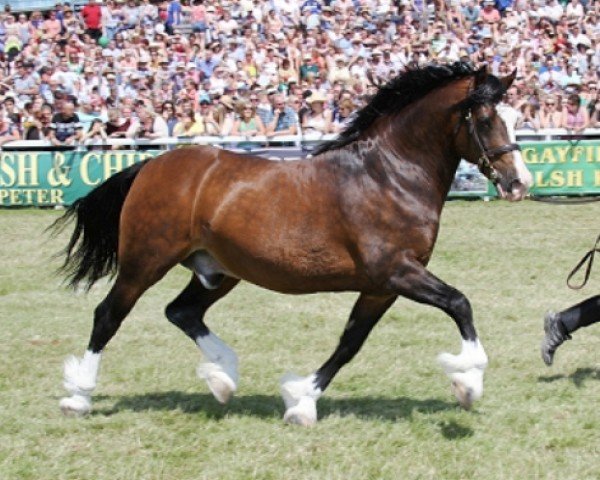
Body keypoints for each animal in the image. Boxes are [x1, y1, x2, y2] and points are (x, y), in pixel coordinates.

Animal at [51, 62, 528, 424]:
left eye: (517, 118)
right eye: (486, 119)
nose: (519, 183)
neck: (389, 174)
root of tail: (151, 164)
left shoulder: (381, 287)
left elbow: (350, 342)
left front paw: (300, 400)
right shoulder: (396, 271)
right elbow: (460, 304)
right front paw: (469, 380)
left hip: (219, 270)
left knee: (181, 312)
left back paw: (223, 379)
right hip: (145, 261)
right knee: (108, 316)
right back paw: (78, 396)